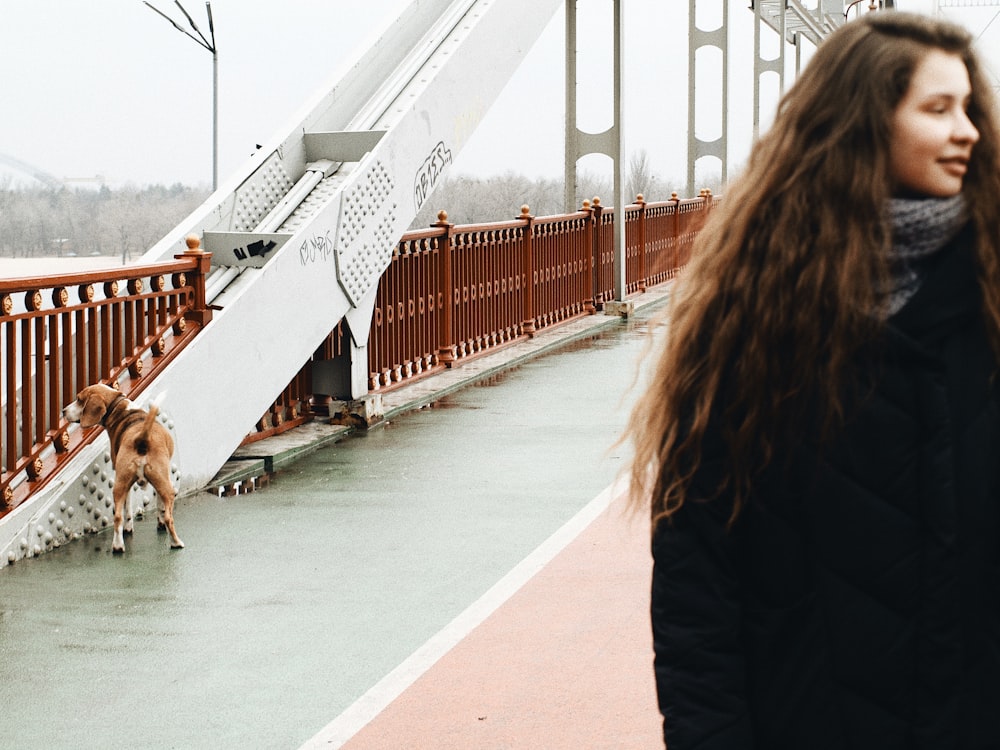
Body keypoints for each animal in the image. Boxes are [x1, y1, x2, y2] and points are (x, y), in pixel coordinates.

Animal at [63, 388, 185, 552]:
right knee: (168, 518)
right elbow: (156, 506)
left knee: (117, 517)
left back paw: (118, 546)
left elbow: (134, 509)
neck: (120, 408)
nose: (63, 411)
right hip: (162, 488)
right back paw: (176, 542)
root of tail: (142, 438)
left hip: (121, 486)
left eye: (79, 399)